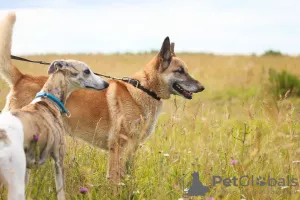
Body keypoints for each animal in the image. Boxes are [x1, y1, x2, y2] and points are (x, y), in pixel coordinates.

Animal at [0, 12, 205, 184]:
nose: (202, 87)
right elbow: (115, 181)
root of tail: (21, 77)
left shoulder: (132, 149)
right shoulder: (118, 148)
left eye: (185, 70)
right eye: (180, 71)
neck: (144, 90)